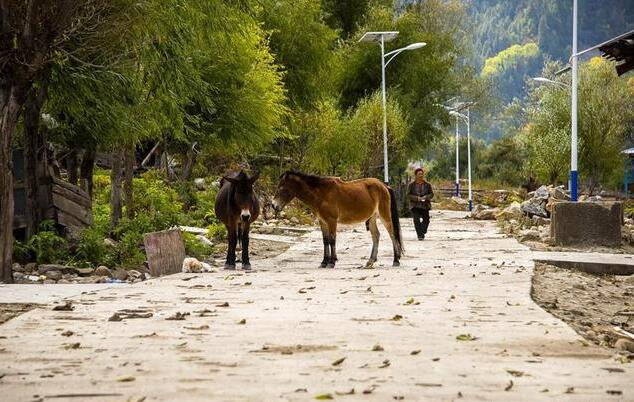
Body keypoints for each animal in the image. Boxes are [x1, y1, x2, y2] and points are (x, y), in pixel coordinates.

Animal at [270, 170, 400, 266]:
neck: (321, 194)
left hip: (384, 215)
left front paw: (332, 262)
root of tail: (384, 185)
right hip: (372, 218)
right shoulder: (322, 222)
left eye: (281, 187)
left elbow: (332, 240)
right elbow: (325, 240)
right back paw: (371, 261)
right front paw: (324, 262)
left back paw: (396, 260)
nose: (273, 205)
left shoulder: (332, 221)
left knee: (392, 234)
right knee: (376, 236)